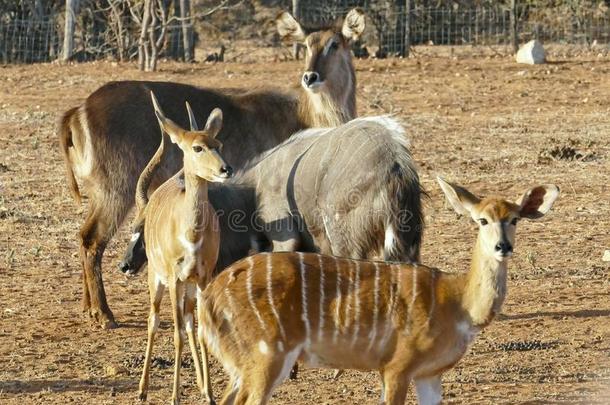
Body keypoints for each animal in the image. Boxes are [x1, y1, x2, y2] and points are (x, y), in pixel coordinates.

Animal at [57, 7, 364, 328]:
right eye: (306, 45)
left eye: (335, 44)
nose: (310, 77)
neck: (304, 115)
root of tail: (79, 110)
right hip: (116, 191)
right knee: (92, 240)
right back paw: (104, 313)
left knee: (82, 236)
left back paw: (88, 308)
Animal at [138, 92, 233, 404]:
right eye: (197, 147)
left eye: (219, 144)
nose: (225, 169)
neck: (189, 235)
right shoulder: (173, 277)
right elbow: (176, 333)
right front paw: (174, 397)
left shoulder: (202, 277)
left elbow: (201, 330)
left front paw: (210, 394)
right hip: (156, 279)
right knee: (154, 319)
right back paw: (142, 389)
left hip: (189, 286)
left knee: (191, 321)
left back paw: (202, 386)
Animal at [198, 177, 556, 404]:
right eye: (482, 220)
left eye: (515, 219)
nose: (502, 246)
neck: (457, 303)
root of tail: (210, 296)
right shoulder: (397, 367)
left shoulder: (430, 375)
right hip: (267, 356)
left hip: (243, 364)